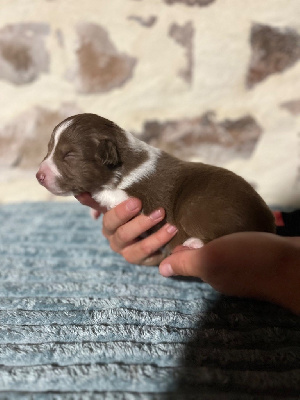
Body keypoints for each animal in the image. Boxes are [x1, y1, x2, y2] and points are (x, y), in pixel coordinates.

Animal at [36, 112, 276, 250]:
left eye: (69, 155)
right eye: (49, 149)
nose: (39, 176)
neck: (125, 164)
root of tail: (267, 223)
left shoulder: (147, 204)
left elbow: (111, 194)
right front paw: (94, 211)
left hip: (196, 209)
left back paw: (195, 242)